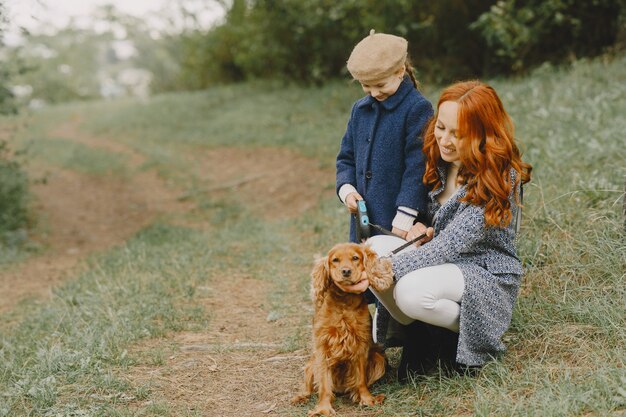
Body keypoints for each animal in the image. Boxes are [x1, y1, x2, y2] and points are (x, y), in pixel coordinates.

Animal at [292, 242, 390, 414]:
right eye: (335, 260)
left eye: (355, 258)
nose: (346, 271)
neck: (344, 301)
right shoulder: (323, 346)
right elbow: (324, 384)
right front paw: (323, 409)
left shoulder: (360, 344)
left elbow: (360, 379)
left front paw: (367, 399)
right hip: (312, 363)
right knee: (308, 386)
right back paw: (301, 397)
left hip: (378, 359)